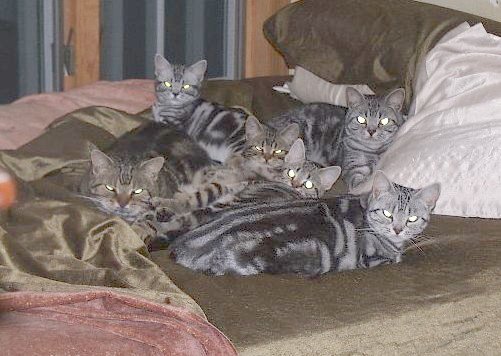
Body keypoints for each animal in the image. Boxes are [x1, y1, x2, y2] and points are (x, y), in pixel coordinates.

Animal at [268, 86, 404, 192]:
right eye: (361, 119)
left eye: (384, 121)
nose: (371, 131)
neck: (373, 151)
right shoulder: (353, 169)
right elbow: (360, 181)